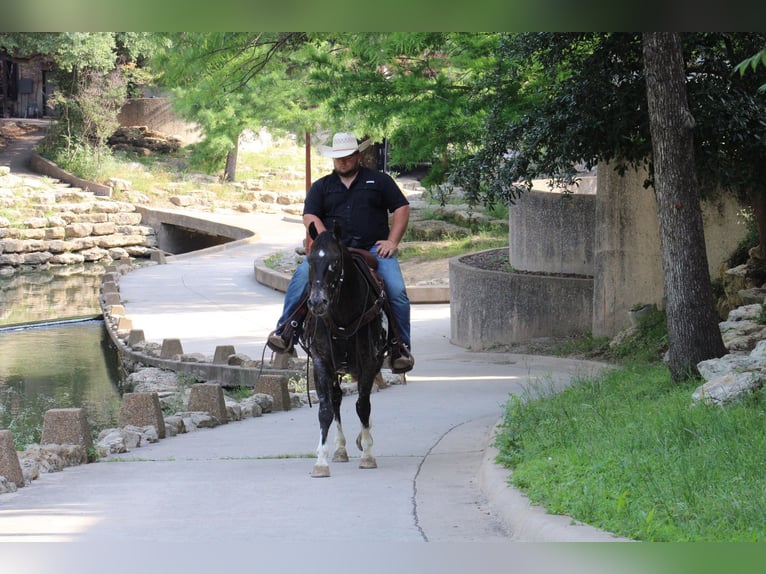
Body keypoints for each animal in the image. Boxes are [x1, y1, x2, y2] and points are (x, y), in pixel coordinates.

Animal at [302, 223, 390, 480]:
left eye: (335, 261)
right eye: (310, 260)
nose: (317, 302)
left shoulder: (370, 361)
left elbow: (363, 405)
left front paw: (368, 455)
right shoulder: (321, 362)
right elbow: (325, 410)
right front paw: (321, 462)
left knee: (363, 400)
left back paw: (363, 438)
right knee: (337, 400)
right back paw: (340, 449)